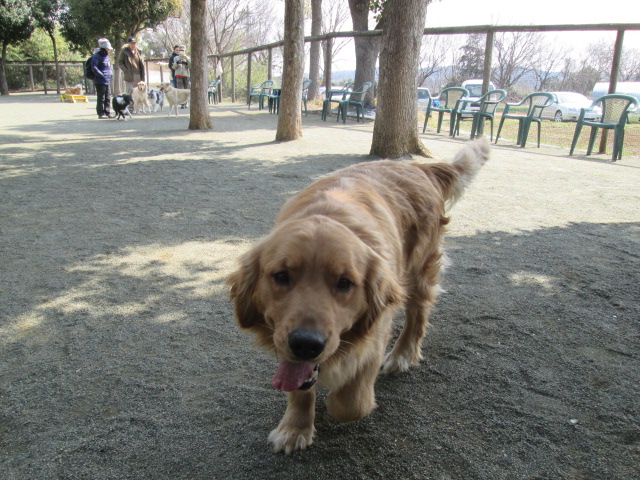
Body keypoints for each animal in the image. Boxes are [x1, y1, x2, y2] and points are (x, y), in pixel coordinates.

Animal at [228, 139, 490, 454]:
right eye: (281, 276)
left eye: (345, 283)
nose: (306, 344)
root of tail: (419, 167)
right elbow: (300, 385)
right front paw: (294, 428)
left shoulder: (376, 331)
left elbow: (351, 404)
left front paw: (336, 397)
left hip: (419, 272)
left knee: (417, 316)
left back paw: (402, 355)